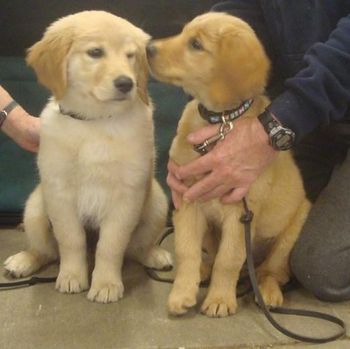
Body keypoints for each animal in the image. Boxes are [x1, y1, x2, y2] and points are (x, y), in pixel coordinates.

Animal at [2, 11, 172, 302]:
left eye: (131, 55)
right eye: (95, 52)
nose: (127, 83)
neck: (96, 121)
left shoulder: (128, 193)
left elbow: (111, 245)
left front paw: (105, 283)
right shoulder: (59, 192)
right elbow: (71, 240)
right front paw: (72, 276)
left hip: (157, 202)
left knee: (135, 248)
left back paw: (154, 254)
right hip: (34, 209)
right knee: (46, 250)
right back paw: (23, 261)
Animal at [146, 11, 310, 316]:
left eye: (196, 44)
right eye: (183, 33)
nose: (148, 47)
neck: (220, 123)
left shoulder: (240, 213)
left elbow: (229, 259)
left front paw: (220, 298)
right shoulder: (187, 200)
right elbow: (186, 250)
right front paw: (182, 292)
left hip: (292, 230)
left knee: (273, 271)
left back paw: (268, 292)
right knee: (215, 257)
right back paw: (203, 270)